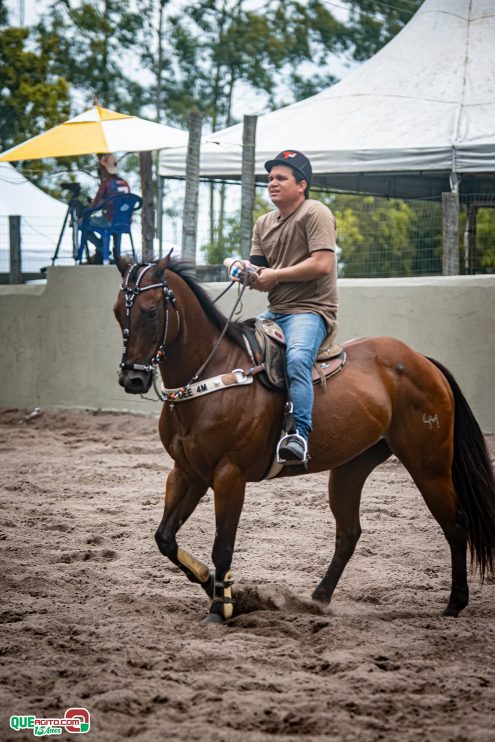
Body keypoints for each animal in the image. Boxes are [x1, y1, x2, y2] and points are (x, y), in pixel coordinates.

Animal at [114, 258, 495, 624]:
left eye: (151, 311)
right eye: (118, 311)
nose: (132, 378)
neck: (212, 374)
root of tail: (421, 361)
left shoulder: (229, 476)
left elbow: (223, 546)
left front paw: (220, 609)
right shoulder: (187, 472)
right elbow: (165, 538)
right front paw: (222, 592)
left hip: (429, 466)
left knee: (456, 524)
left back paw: (455, 602)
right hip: (350, 468)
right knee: (349, 533)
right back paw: (318, 598)